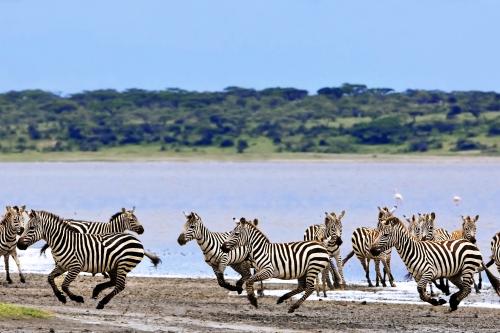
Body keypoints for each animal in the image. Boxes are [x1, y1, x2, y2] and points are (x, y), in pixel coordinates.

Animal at [18, 210, 158, 308]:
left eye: (31, 228)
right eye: (26, 227)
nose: (19, 245)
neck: (63, 242)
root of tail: (137, 240)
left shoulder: (75, 267)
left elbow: (64, 285)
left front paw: (76, 298)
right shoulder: (61, 266)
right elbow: (50, 278)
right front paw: (61, 297)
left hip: (124, 265)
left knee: (120, 285)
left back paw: (102, 302)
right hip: (114, 265)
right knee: (114, 282)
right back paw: (96, 291)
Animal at [370, 217, 498, 310]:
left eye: (385, 235)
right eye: (379, 233)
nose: (371, 250)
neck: (413, 251)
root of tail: (472, 244)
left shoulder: (428, 272)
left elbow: (420, 289)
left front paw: (436, 301)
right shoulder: (418, 277)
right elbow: (421, 294)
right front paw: (437, 301)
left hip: (467, 268)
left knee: (467, 288)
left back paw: (454, 304)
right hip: (454, 274)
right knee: (463, 288)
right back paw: (453, 299)